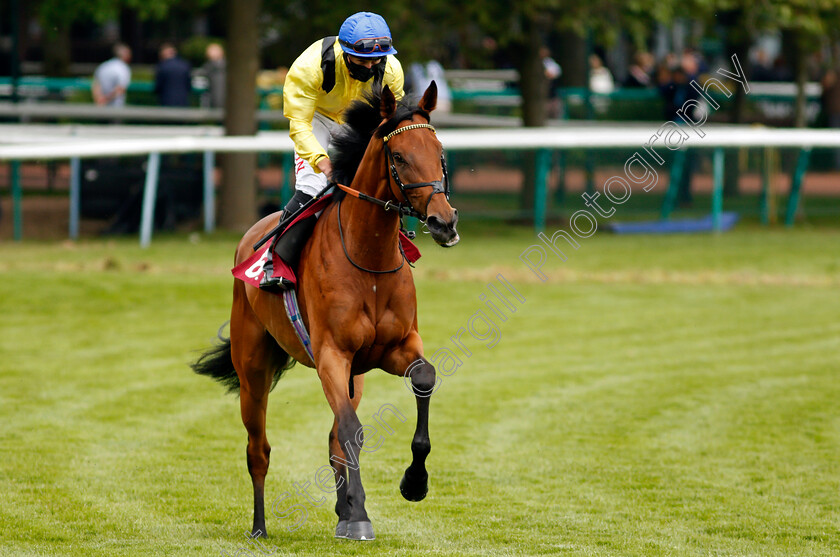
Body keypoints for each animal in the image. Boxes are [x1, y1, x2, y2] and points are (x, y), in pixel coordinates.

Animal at [193, 82, 460, 540]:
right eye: (398, 157)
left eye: (439, 151)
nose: (444, 222)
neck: (368, 259)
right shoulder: (331, 355)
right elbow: (353, 431)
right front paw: (361, 514)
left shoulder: (396, 348)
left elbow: (423, 379)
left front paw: (413, 483)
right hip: (253, 370)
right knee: (258, 449)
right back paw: (260, 527)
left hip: (355, 376)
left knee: (333, 439)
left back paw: (342, 511)